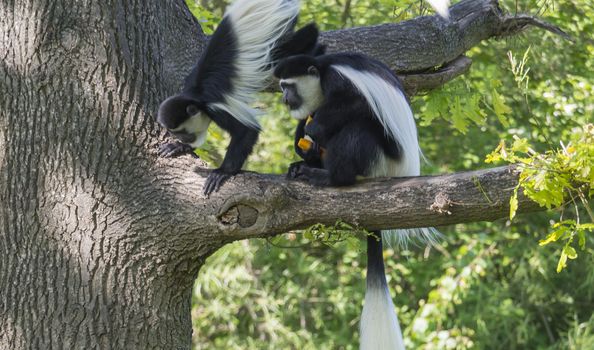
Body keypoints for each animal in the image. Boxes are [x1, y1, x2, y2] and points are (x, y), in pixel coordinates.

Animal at [155, 0, 316, 194]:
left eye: (183, 132)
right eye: (175, 133)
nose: (183, 139)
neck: (195, 96)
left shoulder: (215, 108)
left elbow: (247, 130)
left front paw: (223, 172)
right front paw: (178, 147)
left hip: (284, 23)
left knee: (303, 38)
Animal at [272, 52, 434, 350]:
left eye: (289, 86)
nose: (285, 99)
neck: (321, 71)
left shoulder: (337, 80)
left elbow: (355, 103)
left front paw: (313, 129)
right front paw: (301, 140)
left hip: (379, 158)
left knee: (359, 127)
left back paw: (330, 176)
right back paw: (304, 164)